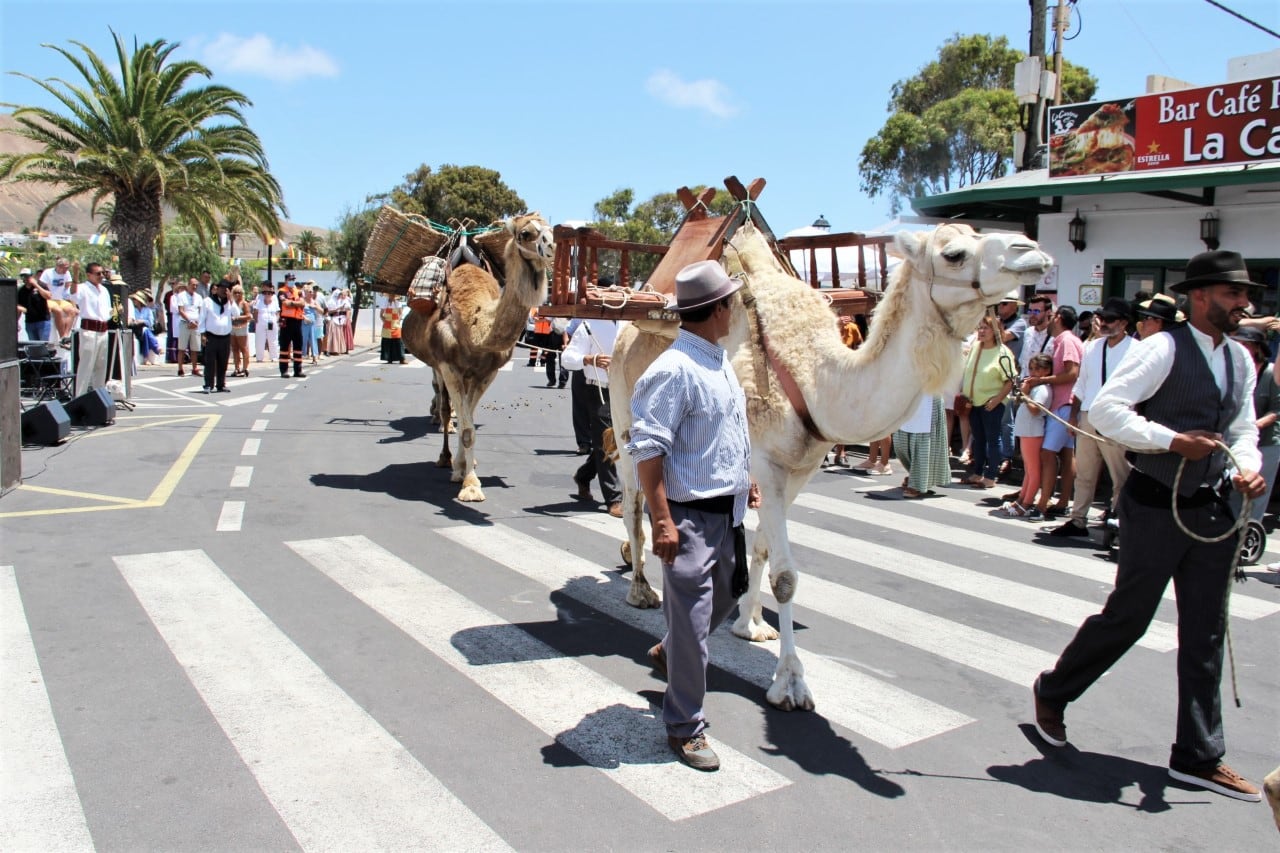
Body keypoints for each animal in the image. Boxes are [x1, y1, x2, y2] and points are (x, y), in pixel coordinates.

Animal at [404, 212, 555, 502]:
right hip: (439, 367)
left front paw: (466, 470)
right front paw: (470, 486)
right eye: (525, 234)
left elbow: (470, 421)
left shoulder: (487, 373)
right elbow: (465, 428)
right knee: (444, 408)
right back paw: (444, 458)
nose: (552, 246)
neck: (474, 328)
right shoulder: (449, 367)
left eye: (552, 229)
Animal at [606, 222, 1049, 706]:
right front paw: (790, 682)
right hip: (626, 415)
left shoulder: (801, 469)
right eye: (953, 253)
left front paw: (751, 624)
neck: (815, 378)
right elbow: (785, 575)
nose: (1032, 251)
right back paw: (641, 589)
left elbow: (763, 549)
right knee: (635, 504)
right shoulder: (766, 464)